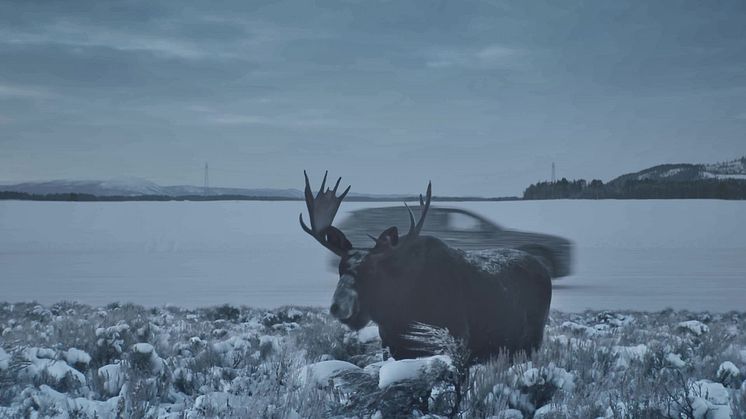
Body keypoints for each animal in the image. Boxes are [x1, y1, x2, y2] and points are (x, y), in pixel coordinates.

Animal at [300, 172, 548, 362]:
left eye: (371, 270)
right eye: (340, 269)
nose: (338, 306)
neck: (396, 312)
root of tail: (542, 265)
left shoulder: (457, 339)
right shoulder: (391, 346)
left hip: (533, 340)